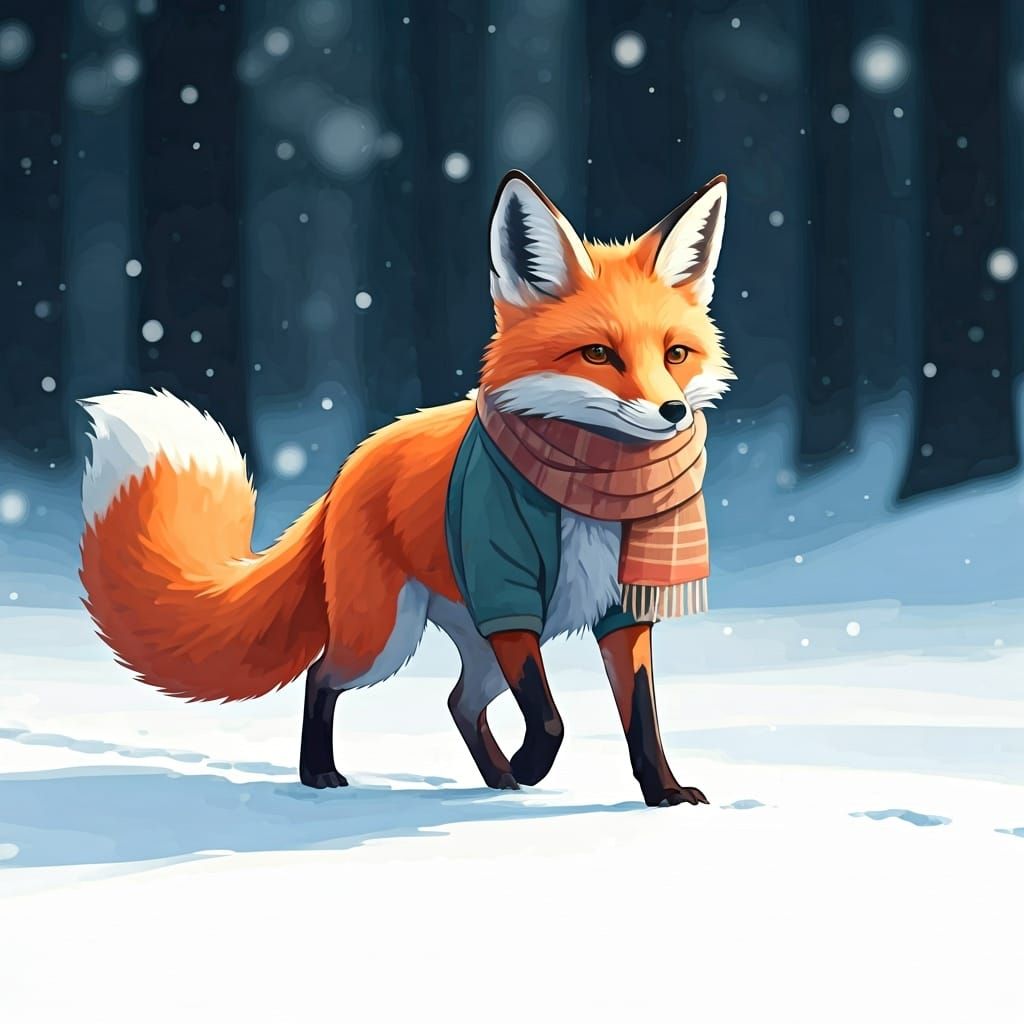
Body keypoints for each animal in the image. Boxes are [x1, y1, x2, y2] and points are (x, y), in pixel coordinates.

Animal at [79, 170, 733, 807]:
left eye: (675, 354)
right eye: (598, 353)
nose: (673, 412)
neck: (594, 487)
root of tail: (351, 465)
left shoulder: (623, 609)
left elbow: (642, 718)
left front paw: (662, 792)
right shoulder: (506, 595)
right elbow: (551, 719)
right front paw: (534, 764)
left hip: (477, 645)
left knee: (458, 701)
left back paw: (496, 778)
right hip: (386, 639)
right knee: (323, 676)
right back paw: (322, 776)